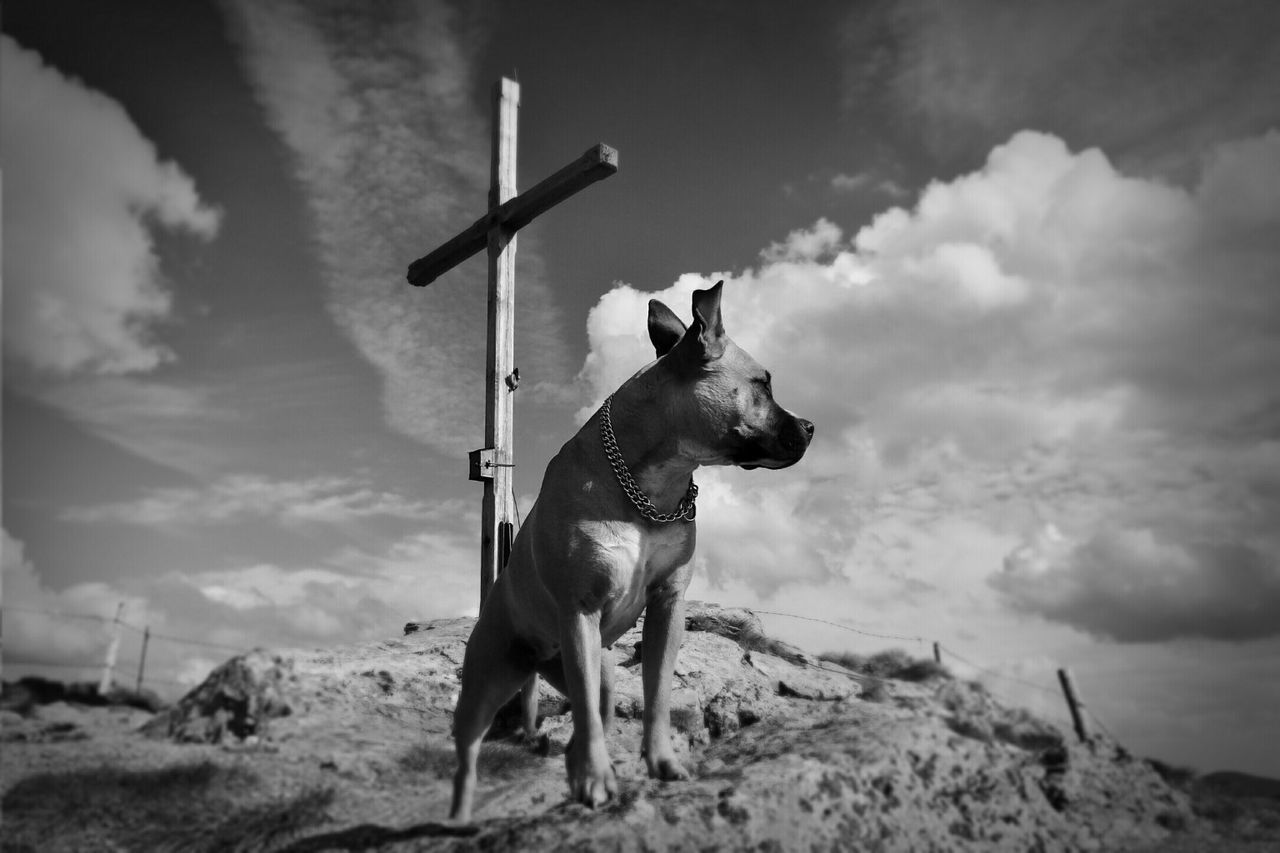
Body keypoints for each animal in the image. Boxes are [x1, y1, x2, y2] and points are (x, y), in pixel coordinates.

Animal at [448, 279, 808, 819]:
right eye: (762, 384)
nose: (810, 427)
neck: (650, 487)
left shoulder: (667, 604)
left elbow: (656, 695)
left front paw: (660, 764)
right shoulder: (581, 609)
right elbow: (588, 718)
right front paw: (598, 782)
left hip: (598, 673)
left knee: (587, 717)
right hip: (488, 683)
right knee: (471, 752)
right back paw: (462, 814)